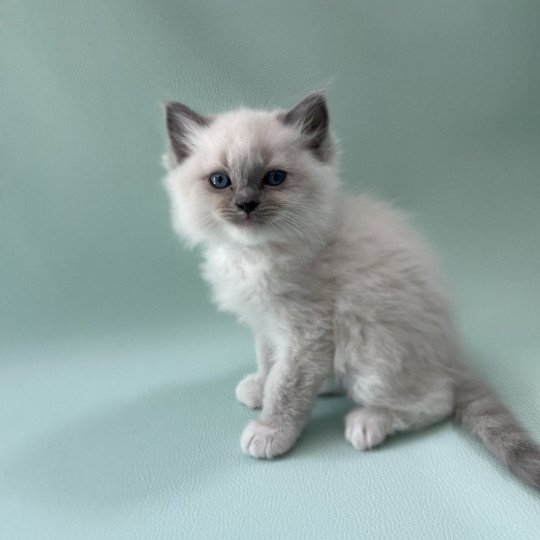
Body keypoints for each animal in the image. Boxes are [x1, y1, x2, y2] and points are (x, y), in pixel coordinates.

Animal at [162, 90, 536, 488]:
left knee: (436, 401)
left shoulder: (307, 334)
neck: (257, 254)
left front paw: (270, 430)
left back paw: (368, 422)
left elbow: (286, 387)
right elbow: (267, 361)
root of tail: (451, 354)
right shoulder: (265, 324)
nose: (246, 204)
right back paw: (328, 385)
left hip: (370, 351)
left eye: (274, 178)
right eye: (220, 181)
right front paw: (259, 387)